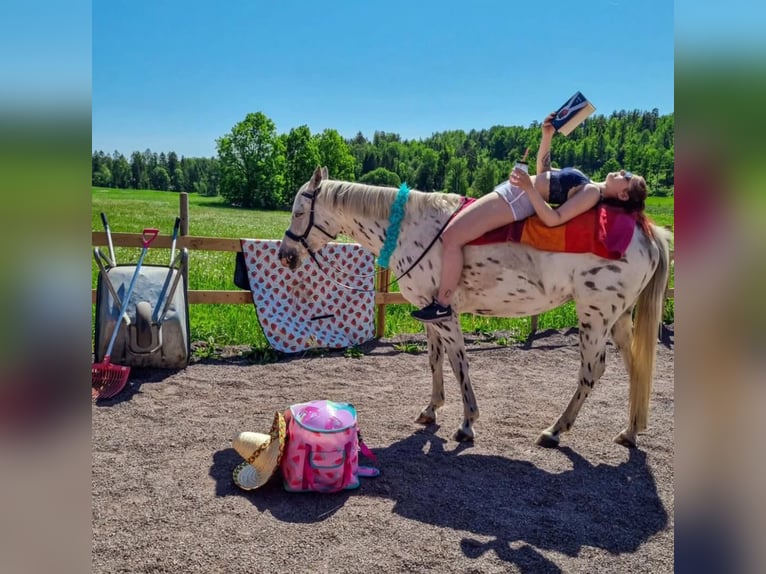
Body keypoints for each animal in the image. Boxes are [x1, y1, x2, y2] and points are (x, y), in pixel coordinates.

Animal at [278, 166, 672, 450]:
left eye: (298, 211)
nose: (285, 255)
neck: (411, 227)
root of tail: (647, 229)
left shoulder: (448, 316)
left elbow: (459, 365)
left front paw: (467, 423)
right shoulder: (430, 313)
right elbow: (435, 361)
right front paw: (431, 409)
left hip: (594, 318)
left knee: (592, 371)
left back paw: (555, 431)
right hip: (618, 320)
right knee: (636, 367)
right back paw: (630, 430)